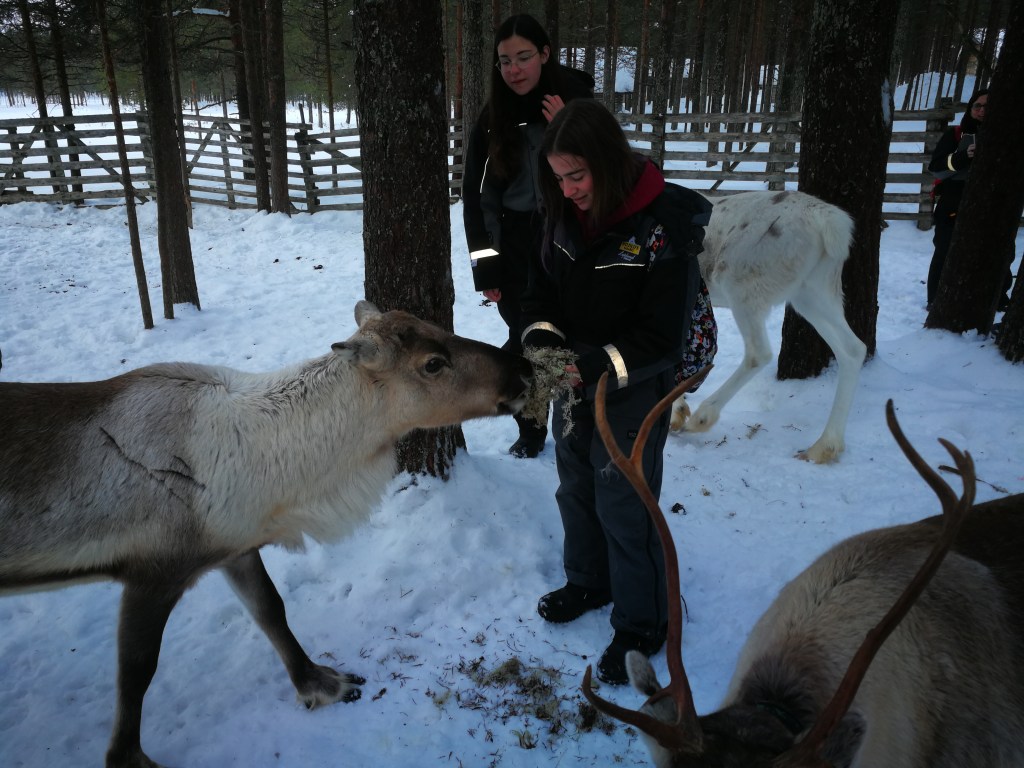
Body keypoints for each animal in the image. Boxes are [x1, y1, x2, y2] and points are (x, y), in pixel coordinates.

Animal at [0, 300, 532, 768]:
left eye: (436, 328)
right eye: (433, 363)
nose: (524, 368)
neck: (275, 474)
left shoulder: (234, 548)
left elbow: (271, 610)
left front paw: (319, 683)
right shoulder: (153, 572)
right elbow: (136, 671)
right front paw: (128, 758)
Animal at [672, 190, 868, 464]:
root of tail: (826, 219)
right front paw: (676, 412)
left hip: (742, 286)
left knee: (759, 353)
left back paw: (703, 417)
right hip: (813, 292)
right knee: (853, 349)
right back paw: (823, 446)